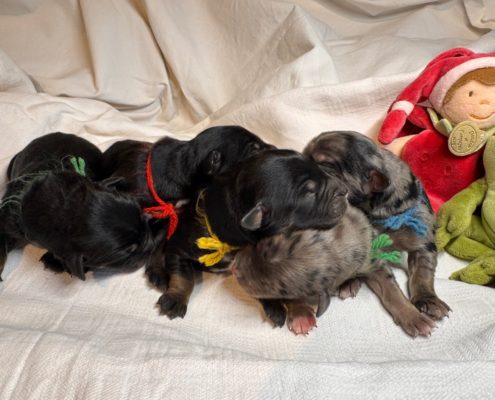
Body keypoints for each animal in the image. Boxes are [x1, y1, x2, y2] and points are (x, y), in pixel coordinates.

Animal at [153, 149, 348, 319]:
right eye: (310, 193)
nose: (345, 191)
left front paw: (275, 305)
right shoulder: (179, 248)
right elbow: (183, 276)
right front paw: (176, 299)